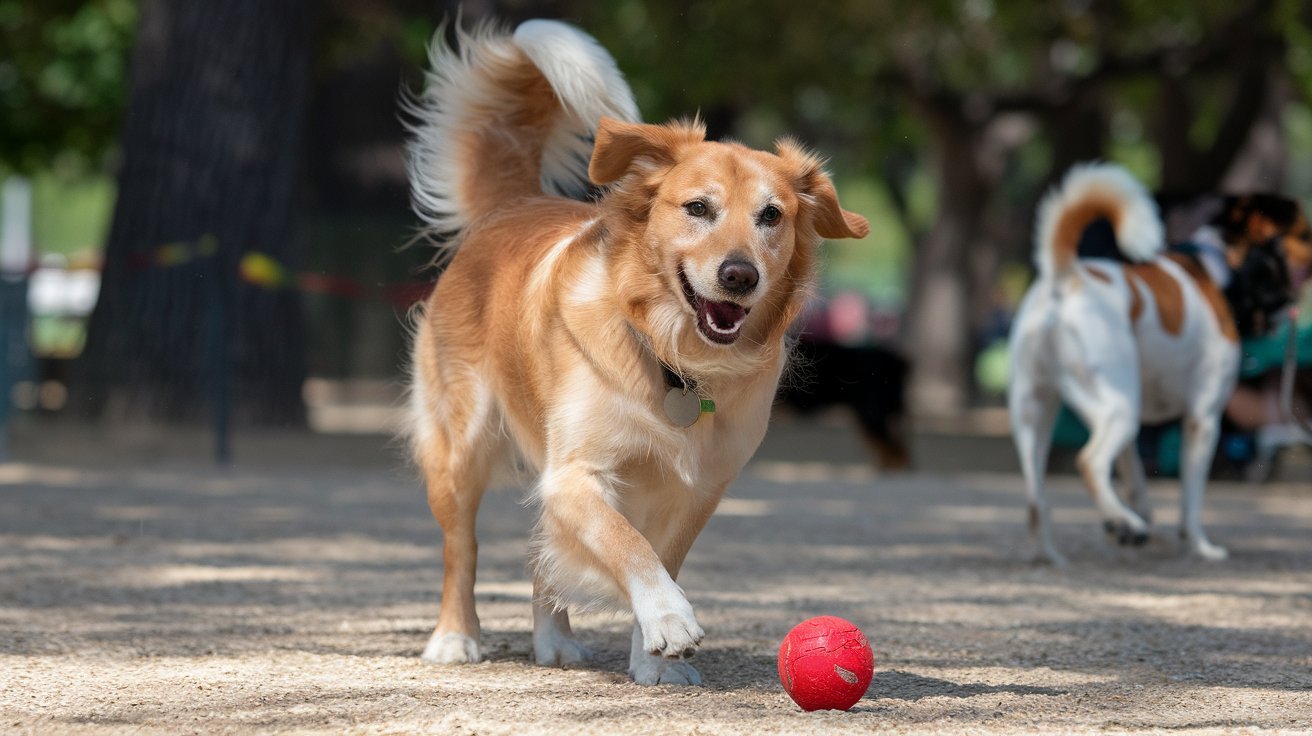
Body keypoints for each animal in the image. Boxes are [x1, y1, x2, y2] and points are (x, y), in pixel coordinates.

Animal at [398, 20, 871, 687]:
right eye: (697, 207)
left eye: (771, 215)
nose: (739, 276)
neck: (675, 362)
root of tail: (513, 205)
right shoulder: (576, 473)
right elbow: (627, 543)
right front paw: (669, 620)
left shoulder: (700, 487)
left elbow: (660, 553)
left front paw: (652, 661)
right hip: (460, 443)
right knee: (460, 547)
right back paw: (455, 637)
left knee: (541, 554)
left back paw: (554, 640)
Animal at [1007, 162, 1296, 561]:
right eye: (1276, 264)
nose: (1292, 300)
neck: (1215, 268)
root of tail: (1066, 277)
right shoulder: (1203, 419)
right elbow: (1191, 501)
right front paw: (1200, 546)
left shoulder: (1132, 426)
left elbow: (1136, 475)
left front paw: (1138, 516)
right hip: (1119, 409)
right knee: (1089, 463)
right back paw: (1122, 520)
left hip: (1036, 414)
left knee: (1037, 500)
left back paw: (1052, 555)